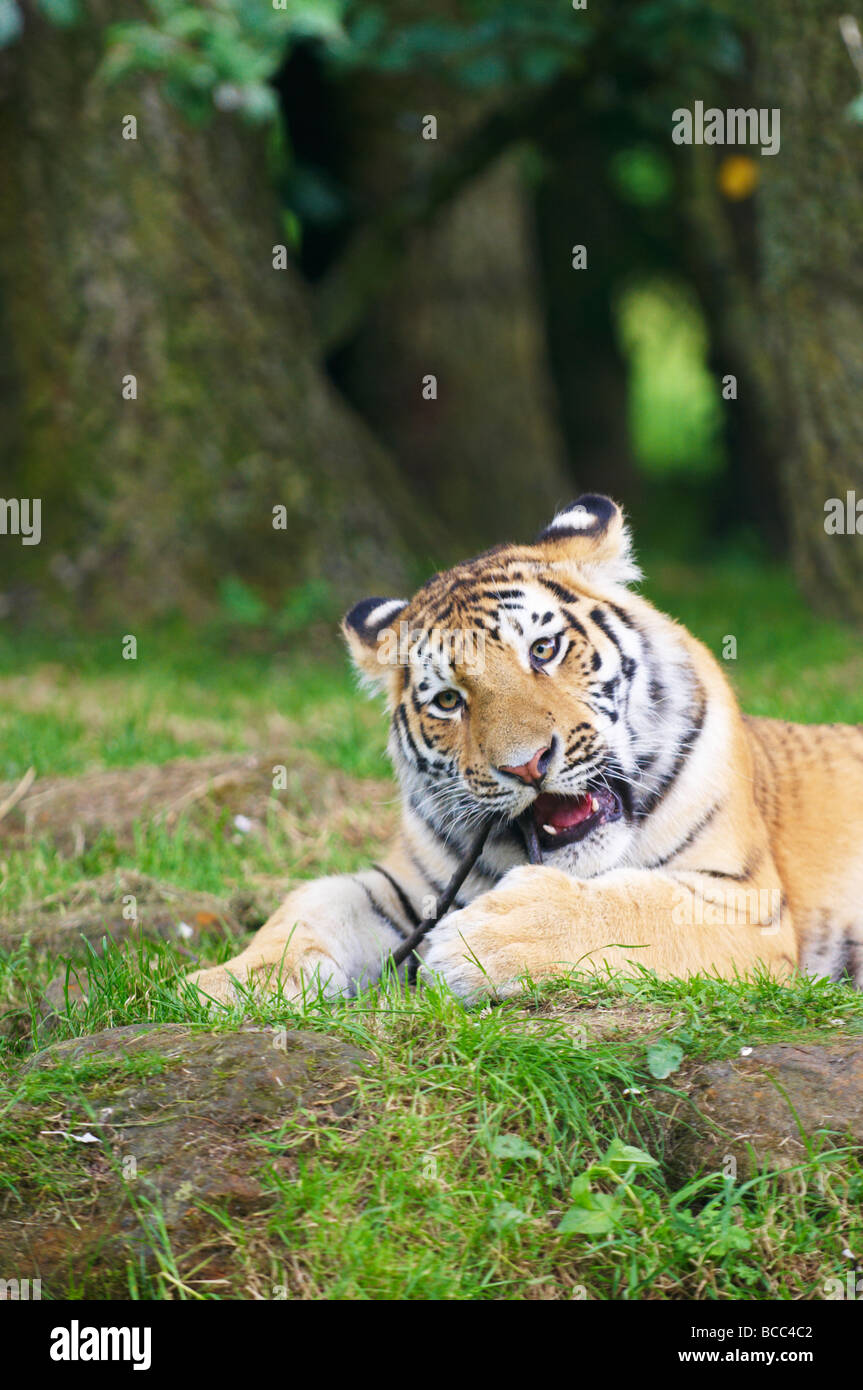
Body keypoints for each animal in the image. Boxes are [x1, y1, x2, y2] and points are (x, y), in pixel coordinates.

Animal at [186, 494, 861, 1006]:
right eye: (449, 701)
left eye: (543, 649)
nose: (527, 765)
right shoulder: (404, 882)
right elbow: (311, 900)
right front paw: (230, 984)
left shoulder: (746, 902)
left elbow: (632, 905)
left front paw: (481, 943)